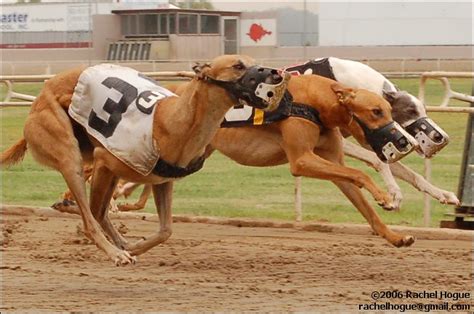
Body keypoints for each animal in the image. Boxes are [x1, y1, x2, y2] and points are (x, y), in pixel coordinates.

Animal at [0, 54, 290, 264]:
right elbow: (94, 215)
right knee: (91, 214)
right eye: (238, 65)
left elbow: (165, 230)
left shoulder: (162, 180)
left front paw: (135, 247)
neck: (175, 119)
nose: (276, 73)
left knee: (99, 212)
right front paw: (120, 251)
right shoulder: (104, 159)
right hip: (69, 152)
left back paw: (119, 242)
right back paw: (110, 246)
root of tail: (43, 92)